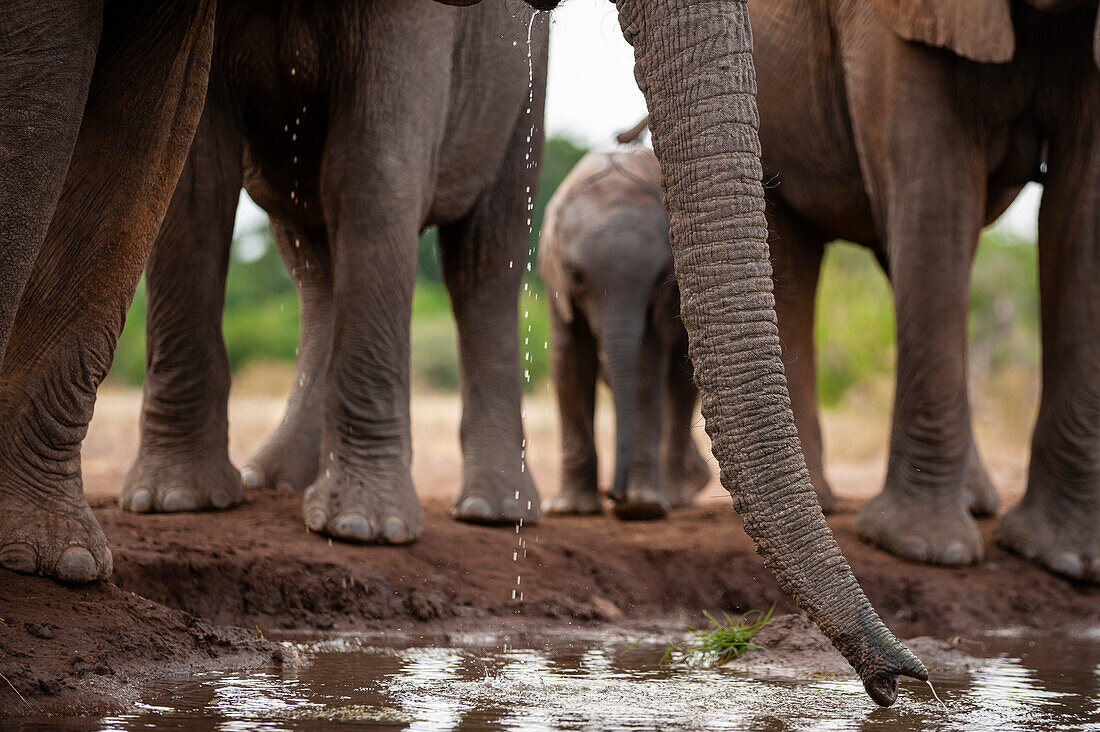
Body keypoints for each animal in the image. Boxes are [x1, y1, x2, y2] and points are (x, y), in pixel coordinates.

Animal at [541, 150, 712, 517]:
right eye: (576, 275)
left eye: (661, 276)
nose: (614, 495)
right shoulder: (555, 283)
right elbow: (570, 363)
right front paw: (570, 510)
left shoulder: (665, 299)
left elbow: (647, 368)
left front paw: (642, 507)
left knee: (680, 381)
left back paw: (675, 496)